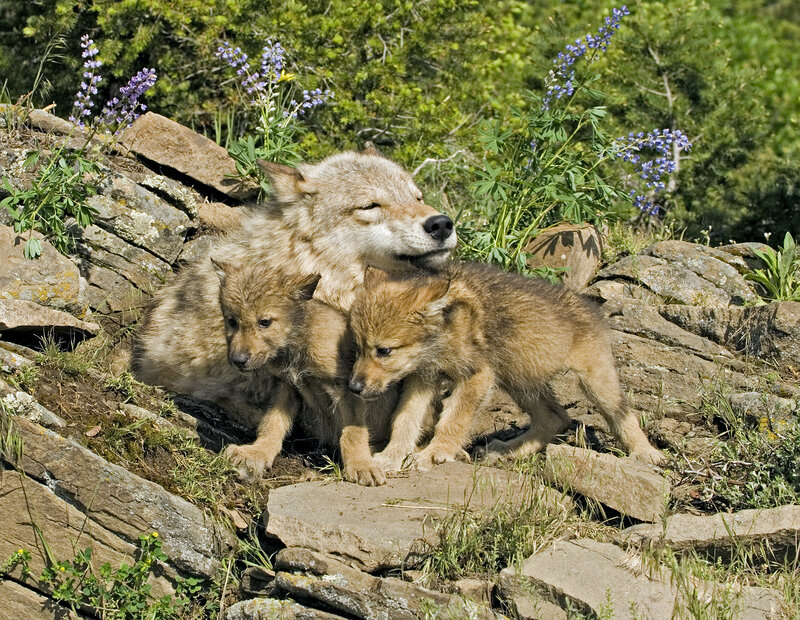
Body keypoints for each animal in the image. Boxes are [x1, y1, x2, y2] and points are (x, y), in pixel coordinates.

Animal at [347, 263, 664, 469]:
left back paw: (647, 454)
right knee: (556, 419)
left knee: (622, 415)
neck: (445, 329)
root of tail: (591, 306)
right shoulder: (423, 378)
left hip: (595, 382)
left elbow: (453, 420)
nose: (353, 387)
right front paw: (392, 455)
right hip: (519, 380)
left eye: (384, 351)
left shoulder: (478, 376)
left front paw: (435, 453)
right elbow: (405, 419)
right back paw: (506, 451)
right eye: (359, 348)